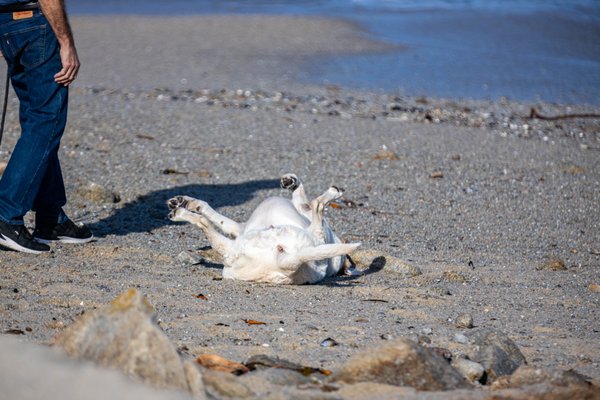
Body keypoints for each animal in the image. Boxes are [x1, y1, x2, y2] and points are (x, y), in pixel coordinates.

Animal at [166, 173, 358, 284]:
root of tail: (288, 261)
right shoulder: (238, 229)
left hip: (236, 247)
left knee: (317, 204)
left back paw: (180, 213)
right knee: (316, 205)